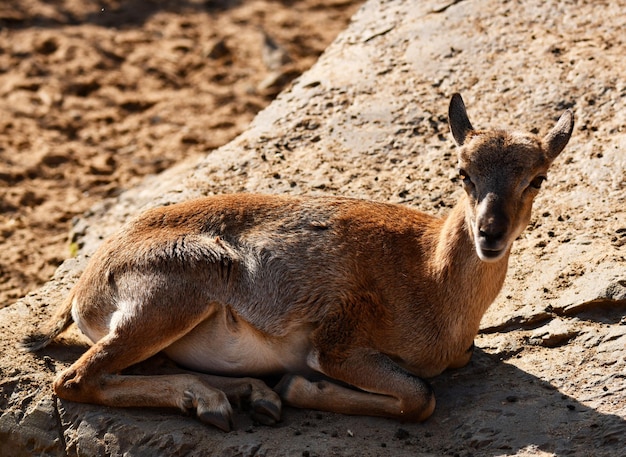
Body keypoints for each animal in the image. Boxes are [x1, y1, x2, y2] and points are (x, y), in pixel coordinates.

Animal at [23, 94, 572, 430]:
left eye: (537, 178)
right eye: (463, 173)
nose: (490, 234)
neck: (428, 275)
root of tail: (85, 287)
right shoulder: (339, 348)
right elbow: (420, 397)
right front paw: (298, 386)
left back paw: (248, 397)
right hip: (173, 300)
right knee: (75, 379)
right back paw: (222, 403)